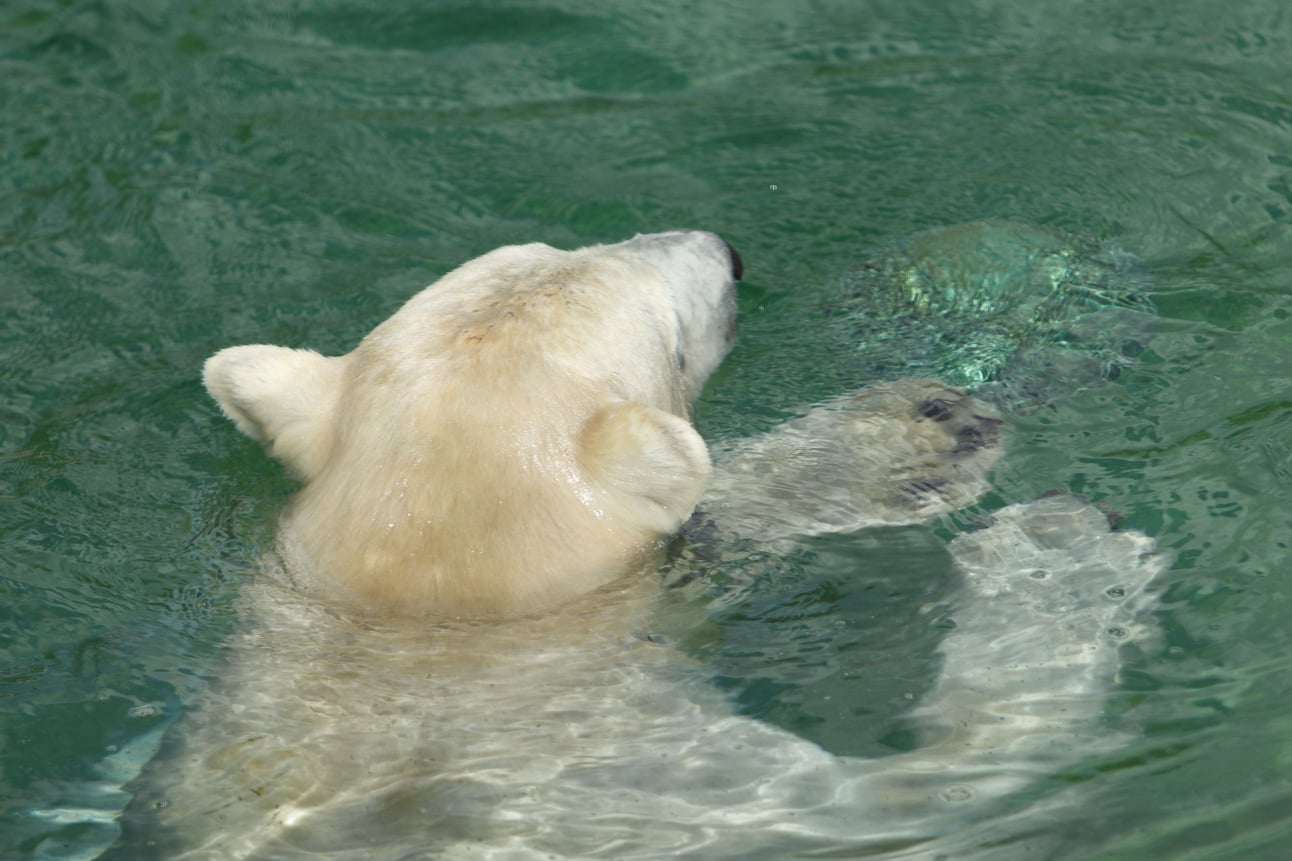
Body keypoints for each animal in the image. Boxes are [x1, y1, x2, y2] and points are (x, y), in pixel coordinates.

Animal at [105, 230, 1166, 860]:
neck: (430, 626)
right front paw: (1059, 548)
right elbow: (903, 800)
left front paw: (914, 433)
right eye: (668, 334)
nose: (725, 251)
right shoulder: (633, 790)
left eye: (555, 239)